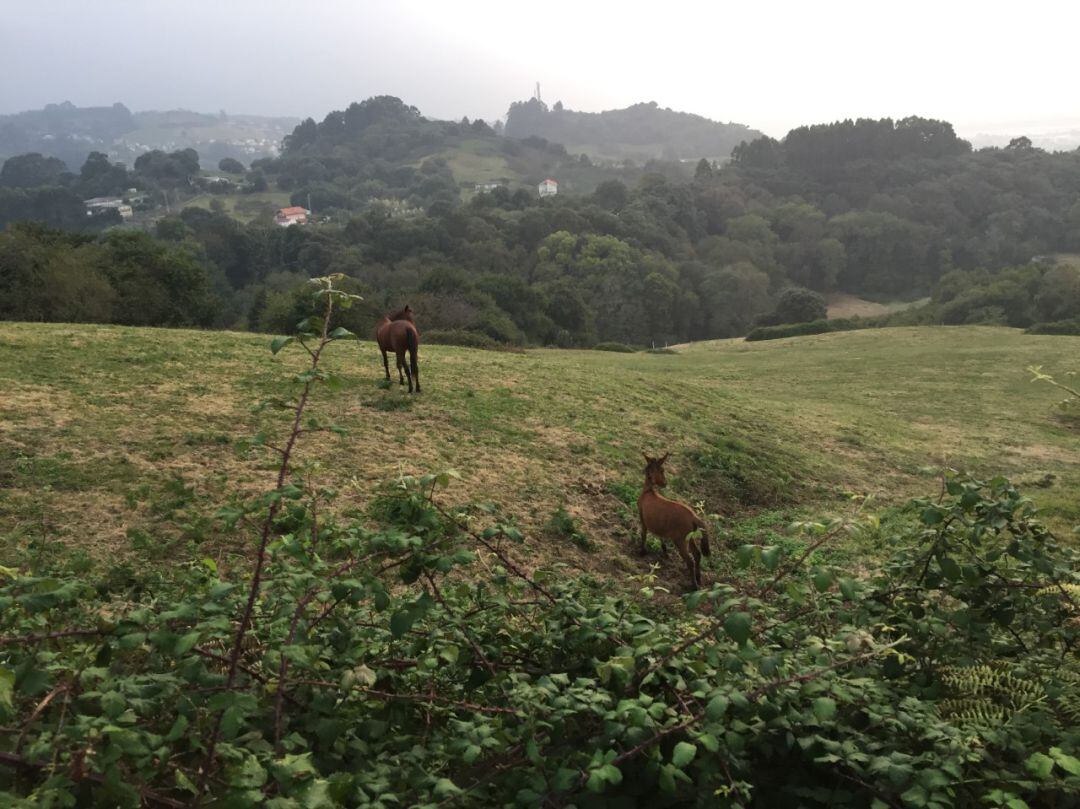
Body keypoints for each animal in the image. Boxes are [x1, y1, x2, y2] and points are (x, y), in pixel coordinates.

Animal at [639, 453, 708, 587]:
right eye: (662, 470)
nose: (665, 483)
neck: (649, 491)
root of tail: (693, 516)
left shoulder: (642, 517)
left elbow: (643, 535)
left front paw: (642, 551)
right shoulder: (660, 525)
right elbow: (661, 538)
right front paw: (665, 553)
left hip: (680, 540)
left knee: (690, 560)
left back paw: (694, 585)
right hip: (689, 537)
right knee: (697, 554)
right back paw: (698, 578)